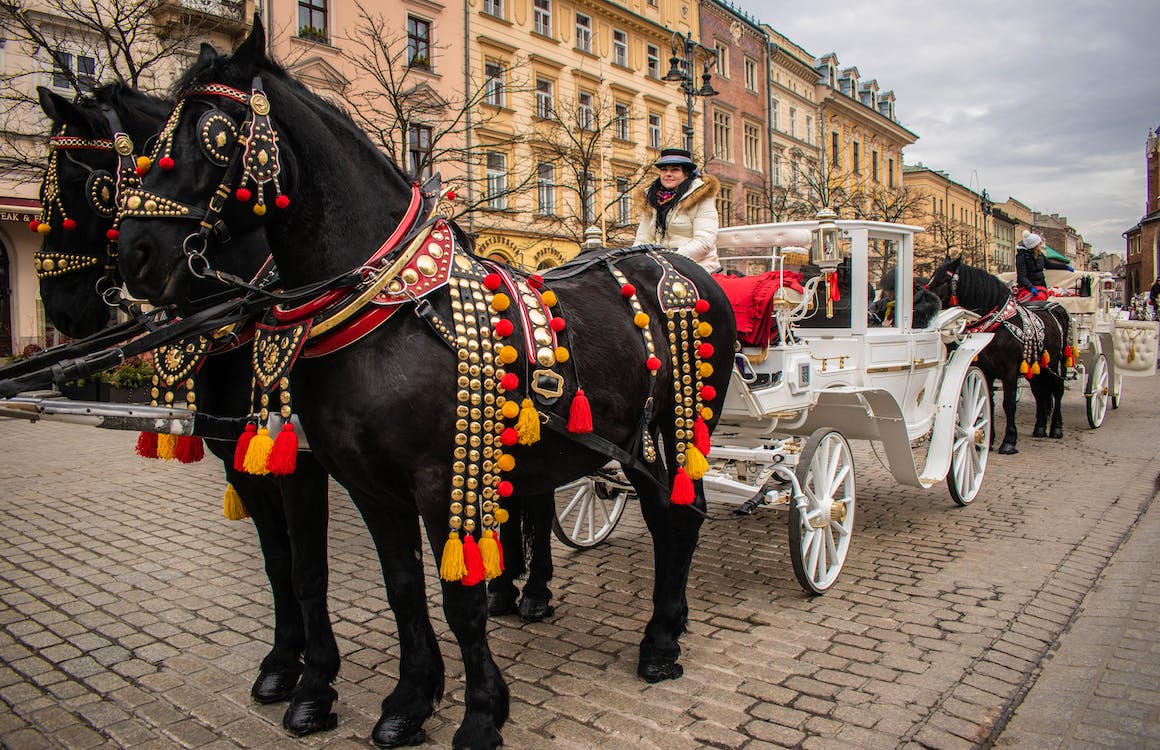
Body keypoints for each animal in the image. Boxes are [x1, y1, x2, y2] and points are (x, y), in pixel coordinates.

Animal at [32, 85, 338, 737]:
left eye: (77, 186)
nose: (61, 310)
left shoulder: (298, 463)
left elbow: (307, 568)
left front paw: (317, 683)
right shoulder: (237, 458)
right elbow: (277, 563)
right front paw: (282, 664)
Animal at [113, 19, 733, 750]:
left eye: (212, 132)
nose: (135, 254)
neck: (383, 309)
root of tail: (675, 262)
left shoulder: (439, 480)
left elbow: (458, 600)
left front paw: (481, 714)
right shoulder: (366, 484)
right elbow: (401, 587)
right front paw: (408, 701)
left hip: (680, 424)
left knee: (679, 514)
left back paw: (661, 642)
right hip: (629, 438)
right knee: (669, 514)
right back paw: (667, 627)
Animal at [923, 258, 1067, 454]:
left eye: (943, 280)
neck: (996, 326)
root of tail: (1055, 307)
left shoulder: (1010, 370)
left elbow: (1008, 404)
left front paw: (1009, 441)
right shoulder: (987, 370)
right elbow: (988, 402)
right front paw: (988, 439)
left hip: (1055, 363)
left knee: (1057, 390)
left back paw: (1056, 428)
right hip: (1037, 367)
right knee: (1040, 393)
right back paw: (1040, 427)